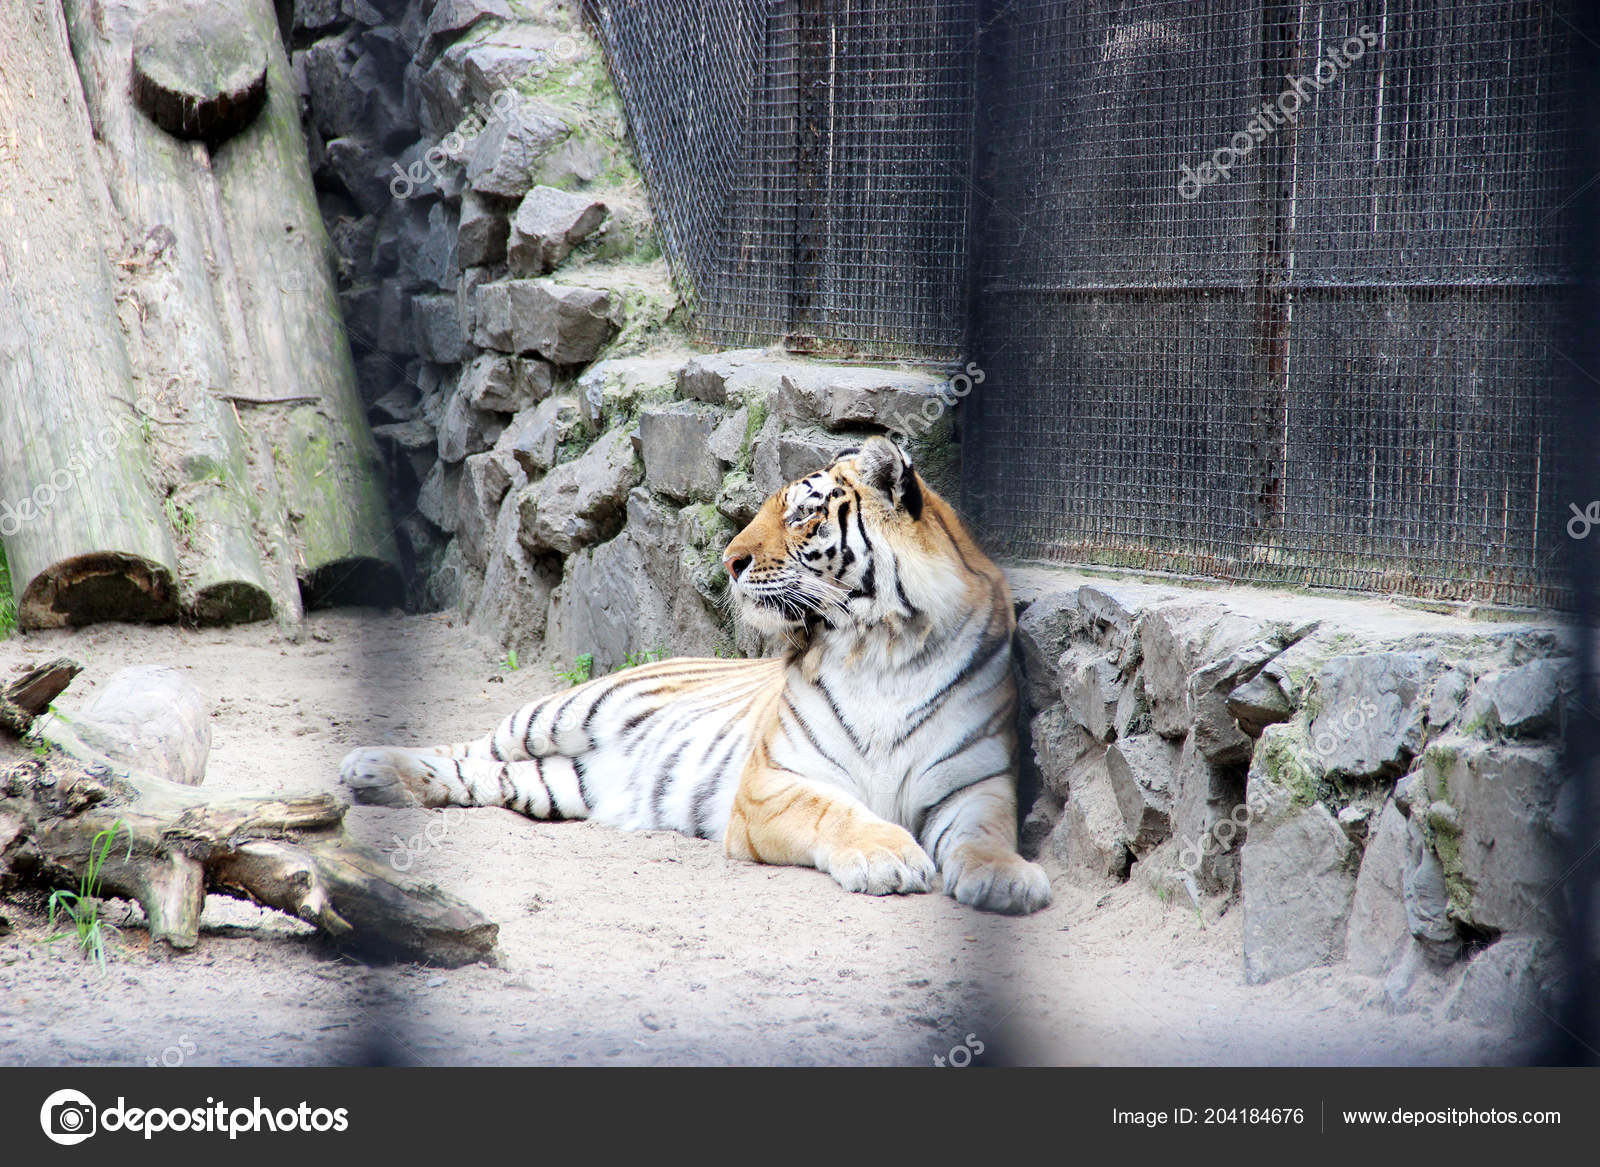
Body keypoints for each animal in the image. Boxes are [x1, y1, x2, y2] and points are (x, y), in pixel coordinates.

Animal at [340, 435, 1051, 914]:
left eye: (802, 513)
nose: (730, 561)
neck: (880, 646)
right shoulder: (772, 784)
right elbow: (835, 811)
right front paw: (889, 855)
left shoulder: (978, 782)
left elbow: (984, 835)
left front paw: (1007, 879)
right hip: (558, 713)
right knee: (469, 746)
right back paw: (369, 765)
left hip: (564, 782)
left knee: (486, 778)